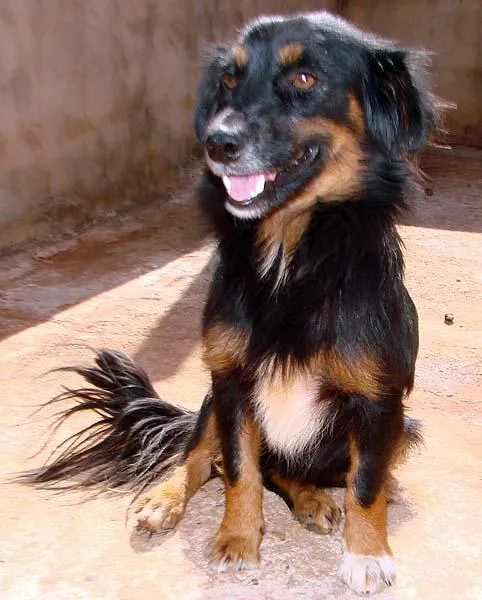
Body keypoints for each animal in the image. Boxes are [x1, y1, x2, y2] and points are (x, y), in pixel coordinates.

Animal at [21, 11, 440, 596]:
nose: (216, 144)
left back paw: (325, 496)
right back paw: (165, 499)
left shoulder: (380, 398)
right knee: (204, 458)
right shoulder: (230, 379)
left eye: (305, 79)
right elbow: (240, 469)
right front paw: (237, 540)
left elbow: (364, 483)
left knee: (314, 471)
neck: (290, 255)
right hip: (208, 401)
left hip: (406, 426)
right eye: (228, 80)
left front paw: (366, 552)